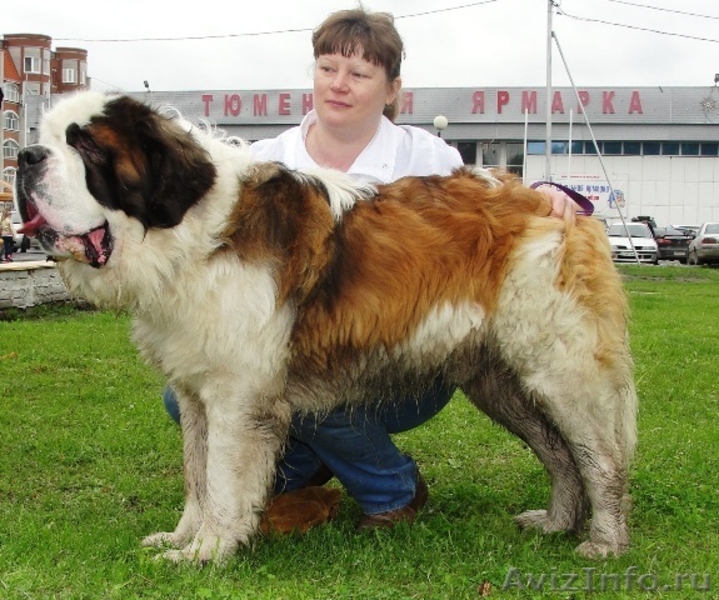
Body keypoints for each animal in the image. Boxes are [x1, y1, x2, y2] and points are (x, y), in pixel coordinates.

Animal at [15, 91, 636, 564]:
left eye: (87, 146)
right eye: (45, 136)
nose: (23, 155)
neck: (193, 229)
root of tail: (562, 207)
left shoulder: (236, 396)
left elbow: (221, 480)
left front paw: (205, 554)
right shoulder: (194, 393)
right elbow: (196, 474)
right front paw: (181, 537)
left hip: (560, 372)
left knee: (601, 459)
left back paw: (605, 542)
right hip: (500, 383)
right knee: (559, 453)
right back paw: (556, 523)